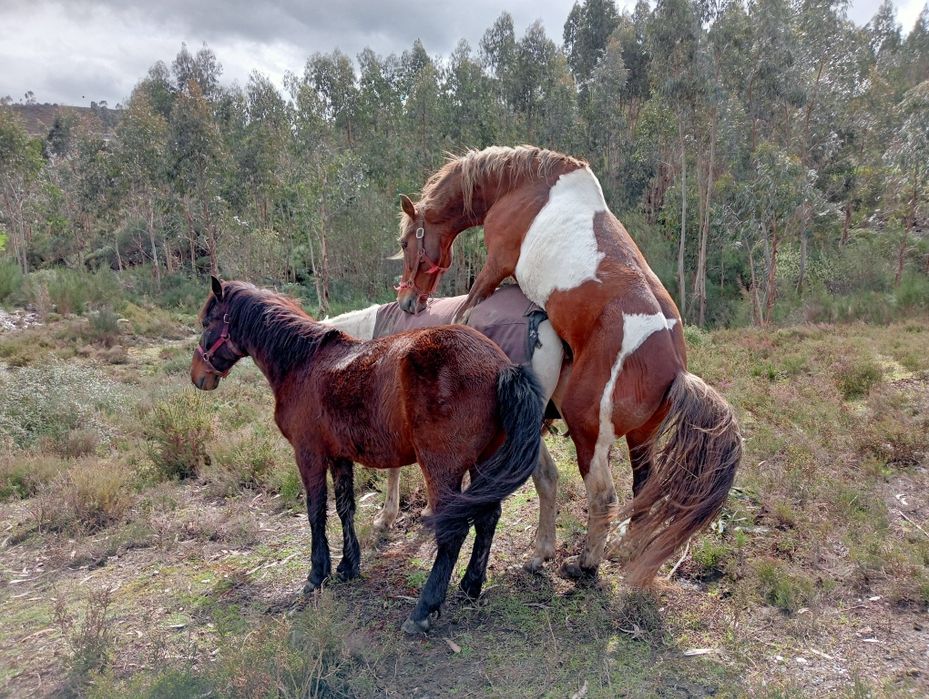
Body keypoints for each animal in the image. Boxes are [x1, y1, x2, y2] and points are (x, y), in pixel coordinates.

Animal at [394, 146, 742, 587]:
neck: (524, 186)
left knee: (603, 496)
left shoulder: (495, 266)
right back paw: (622, 548)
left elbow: (464, 312)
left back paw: (584, 564)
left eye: (406, 241)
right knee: (643, 488)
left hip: (588, 431)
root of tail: (674, 368)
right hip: (641, 438)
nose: (408, 302)